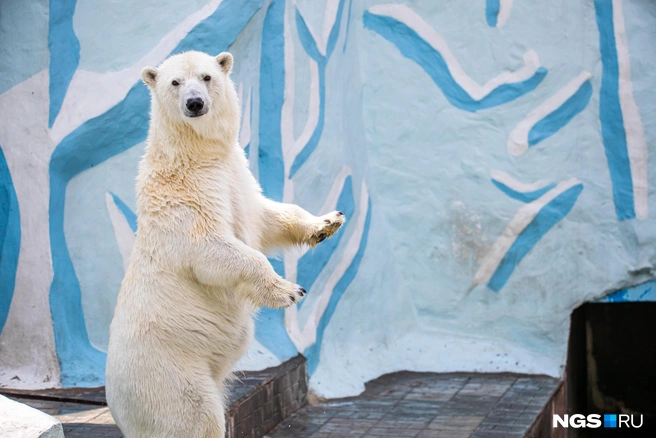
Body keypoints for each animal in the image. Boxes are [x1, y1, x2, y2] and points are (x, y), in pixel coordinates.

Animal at [105, 52, 346, 438]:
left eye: (206, 77)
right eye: (175, 82)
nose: (194, 102)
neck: (196, 155)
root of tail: (116, 404)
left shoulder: (234, 174)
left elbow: (265, 216)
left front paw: (326, 223)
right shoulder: (185, 197)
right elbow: (210, 248)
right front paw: (288, 290)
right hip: (169, 370)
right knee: (194, 418)